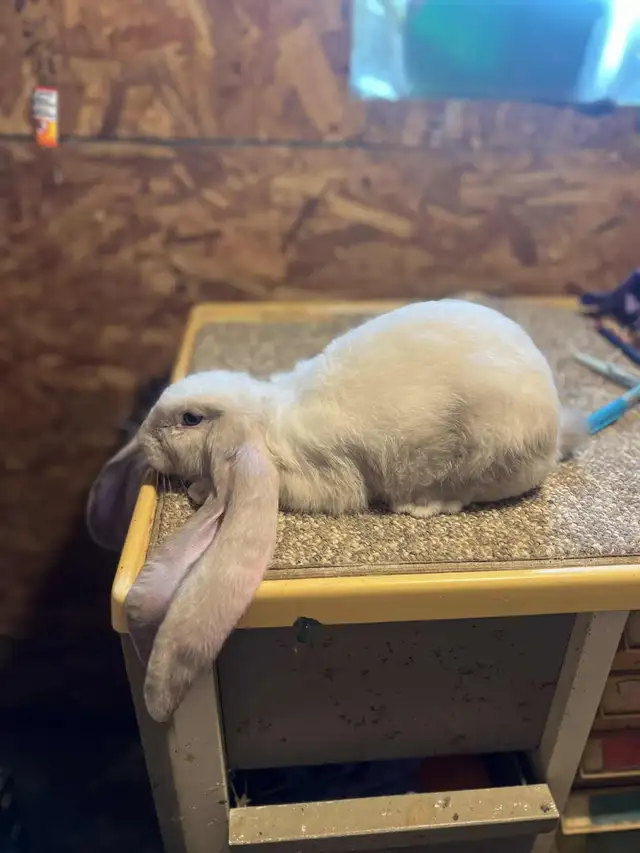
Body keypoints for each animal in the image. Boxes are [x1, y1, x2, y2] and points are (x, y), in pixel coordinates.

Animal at [90, 299, 586, 722]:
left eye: (190, 419)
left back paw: (422, 504)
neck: (265, 421)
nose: (146, 441)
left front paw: (198, 487)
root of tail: (554, 432)